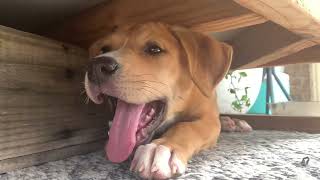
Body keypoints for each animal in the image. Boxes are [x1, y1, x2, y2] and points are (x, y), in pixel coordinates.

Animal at [85, 22, 232, 179]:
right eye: (104, 49)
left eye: (154, 49)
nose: (95, 66)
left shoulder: (209, 119)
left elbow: (186, 127)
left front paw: (161, 148)